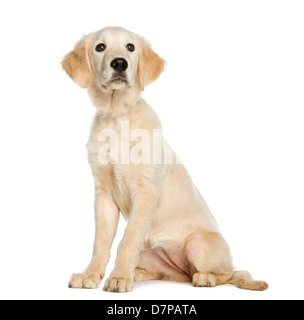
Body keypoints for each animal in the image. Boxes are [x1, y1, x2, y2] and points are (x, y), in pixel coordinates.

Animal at [61, 27, 268, 292]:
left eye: (130, 47)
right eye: (100, 47)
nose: (119, 63)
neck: (118, 118)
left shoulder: (146, 192)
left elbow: (126, 241)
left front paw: (118, 278)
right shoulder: (104, 195)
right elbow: (101, 243)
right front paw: (91, 275)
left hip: (198, 244)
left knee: (228, 273)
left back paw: (206, 278)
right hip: (150, 251)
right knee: (174, 274)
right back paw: (139, 273)